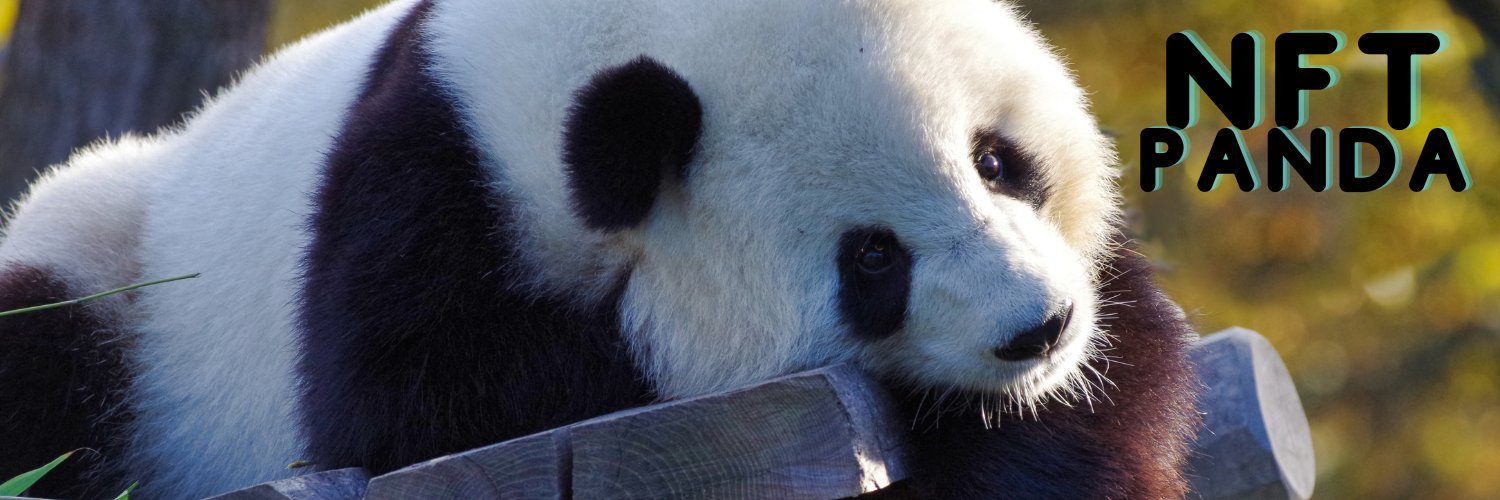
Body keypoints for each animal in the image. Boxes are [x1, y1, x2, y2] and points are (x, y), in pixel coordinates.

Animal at [0, 0, 1199, 498]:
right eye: (871, 260)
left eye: (997, 159)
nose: (1036, 327)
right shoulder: (418, 201)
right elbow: (419, 410)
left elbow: (1115, 376)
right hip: (115, 270)